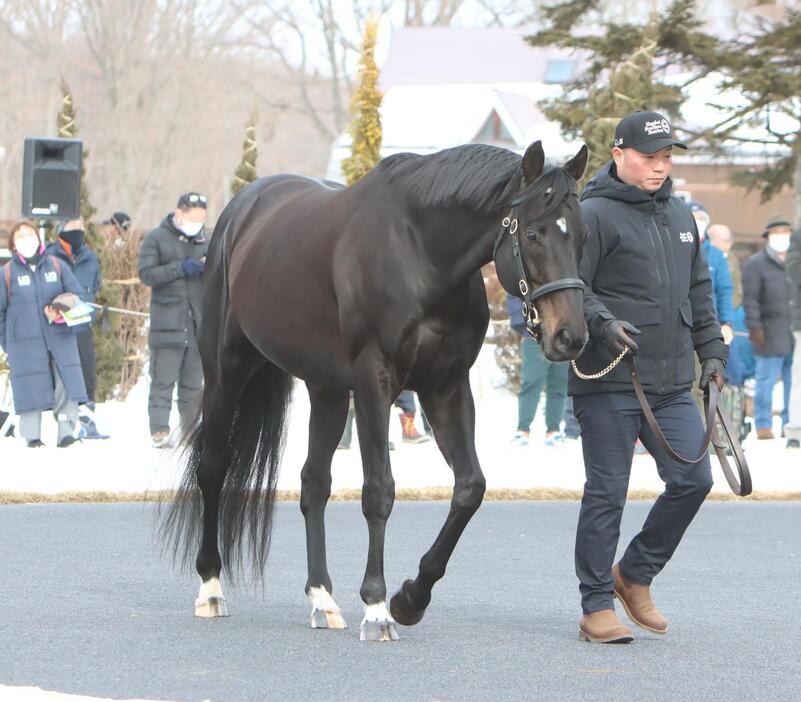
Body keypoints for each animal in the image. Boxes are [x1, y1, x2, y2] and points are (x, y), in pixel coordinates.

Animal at [162, 139, 588, 644]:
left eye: (582, 235)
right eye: (535, 234)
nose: (570, 337)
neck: (420, 251)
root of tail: (240, 212)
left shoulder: (446, 388)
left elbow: (470, 488)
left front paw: (411, 598)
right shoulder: (374, 384)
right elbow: (379, 491)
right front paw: (377, 607)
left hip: (325, 389)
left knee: (314, 483)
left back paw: (322, 599)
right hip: (226, 371)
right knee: (213, 469)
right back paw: (210, 587)